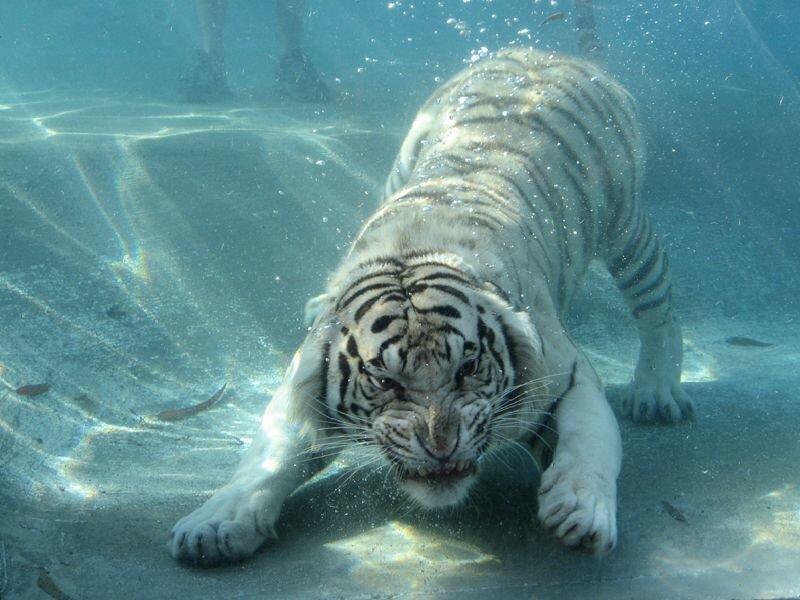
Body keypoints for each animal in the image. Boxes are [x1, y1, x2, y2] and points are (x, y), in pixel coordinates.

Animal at [169, 42, 693, 565]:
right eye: (385, 381)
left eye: (468, 368)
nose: (442, 447)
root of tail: (539, 51)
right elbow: (267, 458)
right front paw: (214, 524)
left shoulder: (568, 375)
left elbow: (589, 443)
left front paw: (581, 510)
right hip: (400, 165)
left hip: (625, 225)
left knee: (659, 304)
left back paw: (656, 393)